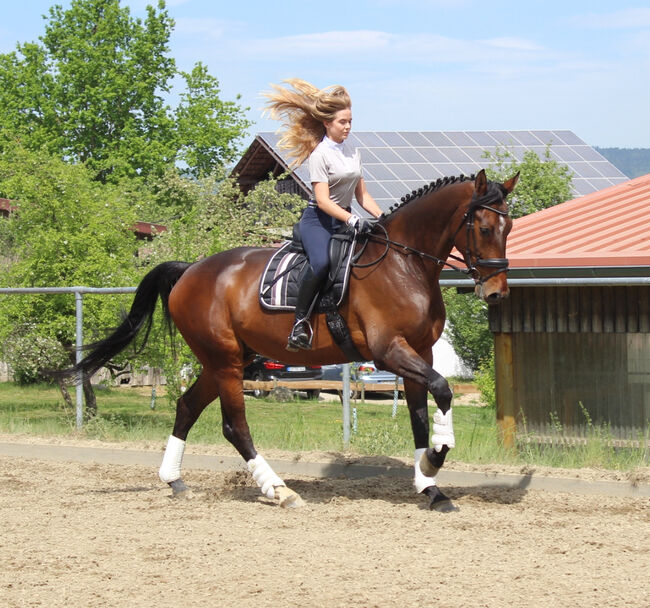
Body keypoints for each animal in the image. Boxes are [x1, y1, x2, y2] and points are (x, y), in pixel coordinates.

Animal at [59, 169, 516, 510]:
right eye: (484, 226)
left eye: (508, 226)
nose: (496, 292)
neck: (405, 264)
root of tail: (190, 270)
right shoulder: (390, 351)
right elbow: (443, 390)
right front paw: (436, 460)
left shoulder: (419, 352)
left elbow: (421, 416)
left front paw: (430, 487)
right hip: (226, 362)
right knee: (234, 426)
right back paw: (279, 490)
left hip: (224, 360)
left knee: (186, 406)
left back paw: (175, 480)